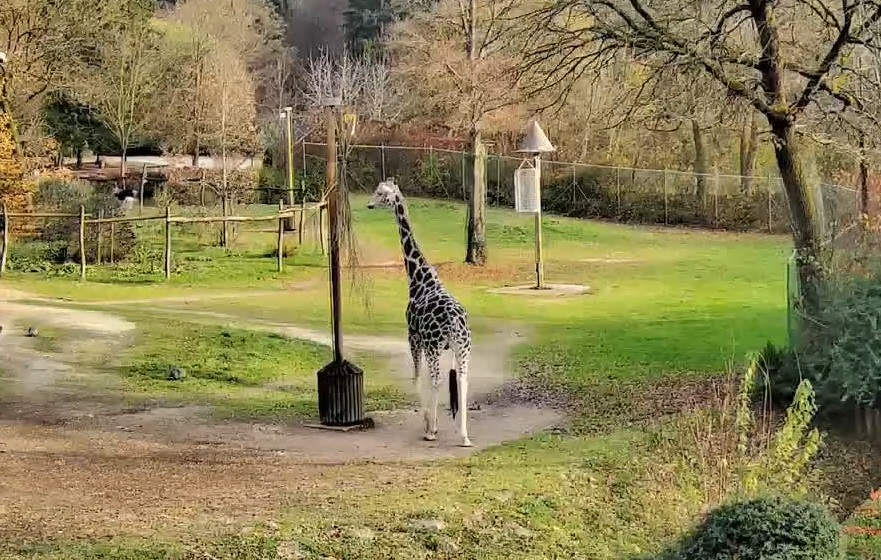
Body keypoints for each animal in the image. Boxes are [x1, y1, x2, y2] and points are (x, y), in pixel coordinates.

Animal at [367, 179, 473, 447]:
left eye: (381, 193)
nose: (370, 205)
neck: (419, 277)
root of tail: (454, 322)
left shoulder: (413, 336)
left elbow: (416, 376)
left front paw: (428, 422)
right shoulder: (432, 344)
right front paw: (433, 421)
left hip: (435, 345)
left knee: (436, 379)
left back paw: (432, 431)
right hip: (463, 347)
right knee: (463, 380)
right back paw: (464, 436)